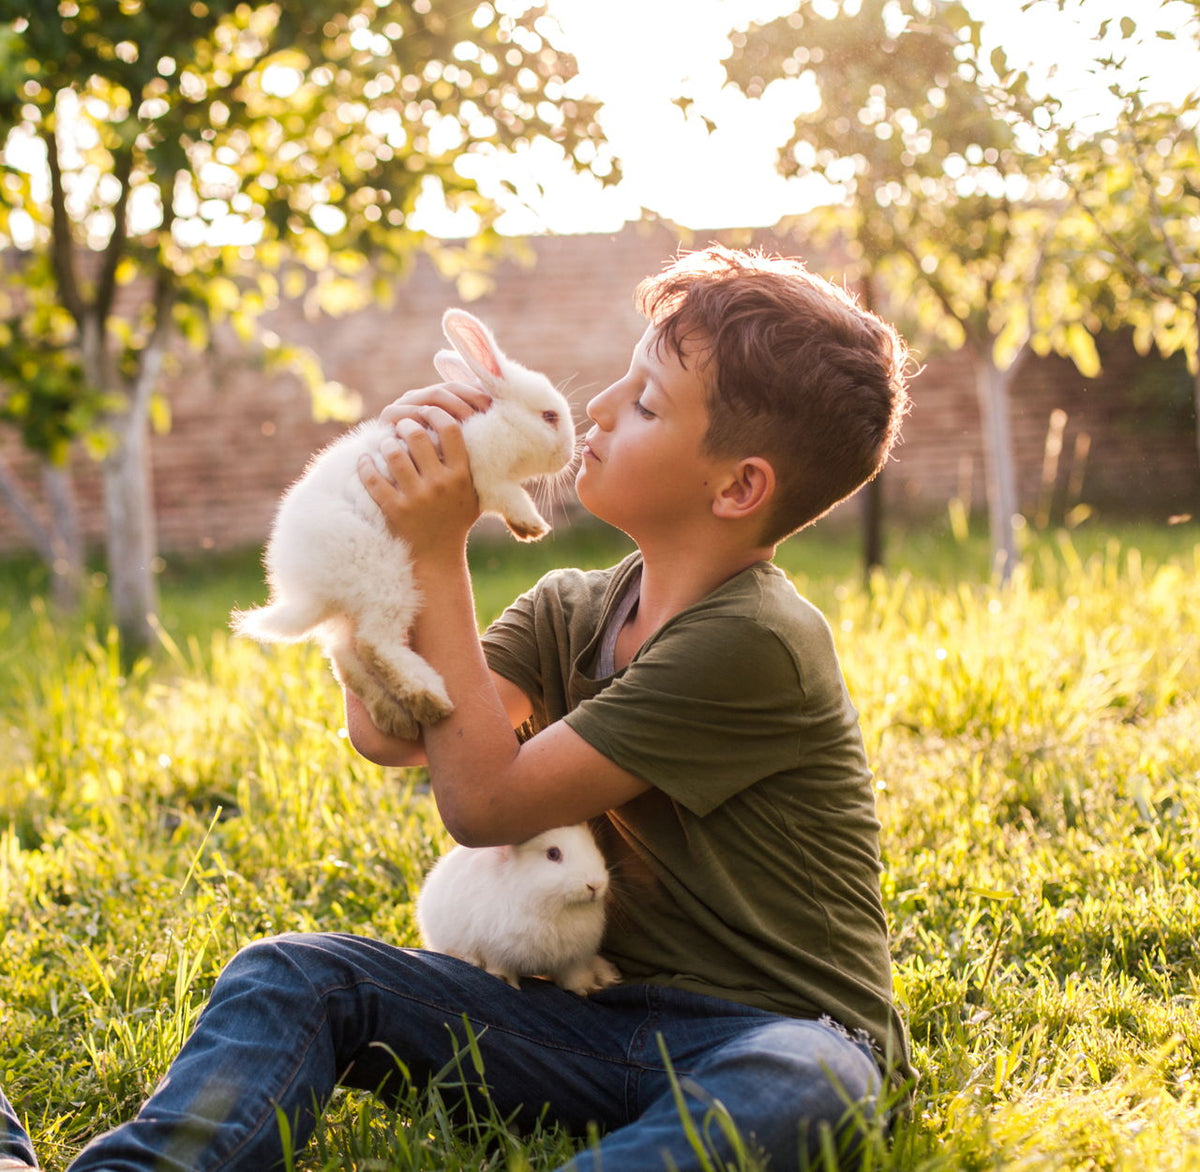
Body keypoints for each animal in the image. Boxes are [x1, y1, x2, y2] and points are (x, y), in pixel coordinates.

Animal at [231, 309, 576, 741]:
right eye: (549, 416)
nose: (570, 453)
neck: (498, 421)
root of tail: (307, 591)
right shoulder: (485, 473)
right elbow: (508, 496)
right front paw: (531, 526)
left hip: (352, 607)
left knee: (345, 657)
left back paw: (395, 717)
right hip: (385, 577)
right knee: (373, 645)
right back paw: (429, 698)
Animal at [416, 824, 622, 996]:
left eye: (594, 845)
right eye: (553, 854)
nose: (595, 884)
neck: (556, 909)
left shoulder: (573, 959)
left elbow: (574, 976)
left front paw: (585, 989)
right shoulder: (496, 950)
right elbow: (502, 968)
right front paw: (508, 983)